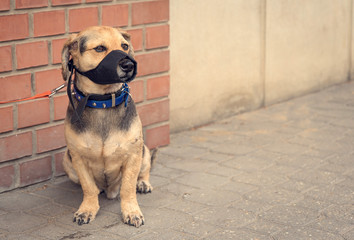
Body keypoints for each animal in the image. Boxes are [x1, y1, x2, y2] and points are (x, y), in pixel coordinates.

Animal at [60, 25, 155, 227]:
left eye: (125, 46)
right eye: (99, 48)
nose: (128, 65)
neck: (103, 102)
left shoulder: (133, 155)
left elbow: (128, 188)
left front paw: (132, 211)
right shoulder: (78, 158)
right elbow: (88, 187)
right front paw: (87, 209)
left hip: (144, 150)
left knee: (144, 171)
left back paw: (143, 183)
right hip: (67, 160)